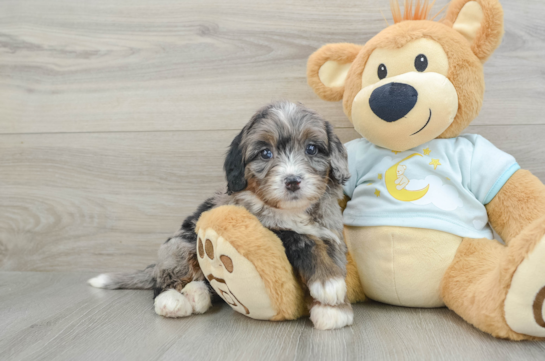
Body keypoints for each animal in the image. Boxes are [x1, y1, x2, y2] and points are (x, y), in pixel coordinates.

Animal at [88, 101, 352, 330]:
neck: (290, 211)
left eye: (312, 149)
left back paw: (198, 294)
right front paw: (328, 285)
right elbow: (303, 239)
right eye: (265, 153)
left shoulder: (331, 235)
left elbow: (333, 259)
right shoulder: (264, 230)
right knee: (164, 280)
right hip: (180, 247)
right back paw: (172, 300)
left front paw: (333, 308)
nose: (293, 181)